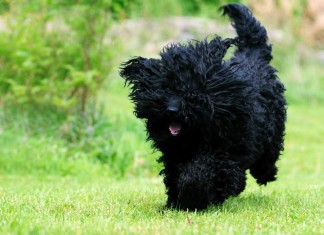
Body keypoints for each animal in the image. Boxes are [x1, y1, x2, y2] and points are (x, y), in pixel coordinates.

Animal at [119, 3, 286, 209]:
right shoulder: (175, 156)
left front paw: (192, 199)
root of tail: (253, 55)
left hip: (272, 131)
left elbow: (199, 175)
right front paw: (173, 203)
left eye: (191, 93)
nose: (172, 110)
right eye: (163, 90)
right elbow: (176, 176)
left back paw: (264, 175)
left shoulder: (222, 152)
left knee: (268, 156)